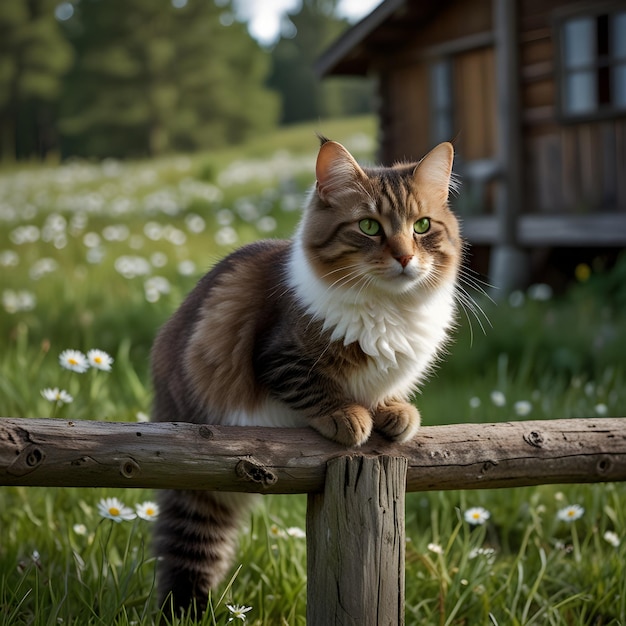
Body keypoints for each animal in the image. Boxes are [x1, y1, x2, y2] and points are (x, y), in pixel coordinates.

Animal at [151, 135, 460, 608]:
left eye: (422, 226)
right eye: (369, 227)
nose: (406, 257)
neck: (390, 308)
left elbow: (386, 391)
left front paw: (395, 411)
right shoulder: (277, 354)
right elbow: (315, 387)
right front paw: (350, 417)